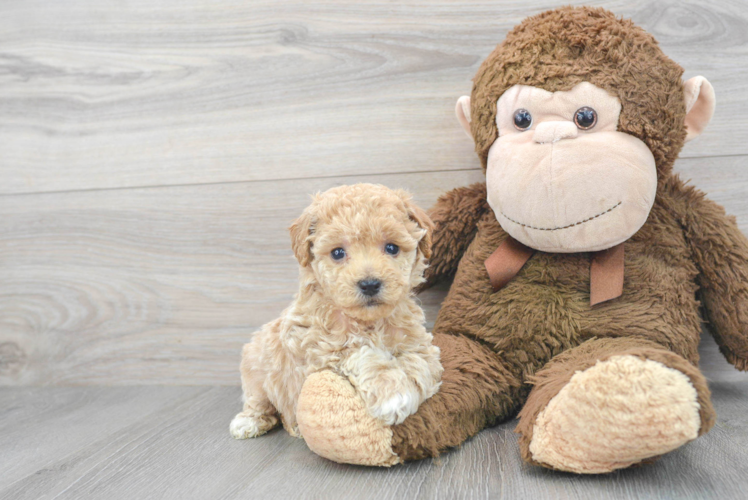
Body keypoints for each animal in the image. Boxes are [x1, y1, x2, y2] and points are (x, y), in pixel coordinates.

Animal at [228, 182, 438, 440]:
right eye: (338, 252)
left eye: (391, 248)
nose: (370, 284)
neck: (368, 322)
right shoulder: (319, 346)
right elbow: (362, 353)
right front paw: (391, 393)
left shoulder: (419, 343)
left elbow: (420, 362)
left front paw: (404, 390)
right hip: (256, 364)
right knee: (258, 401)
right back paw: (249, 422)